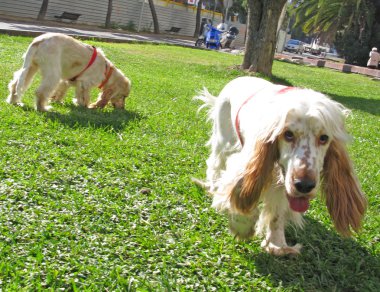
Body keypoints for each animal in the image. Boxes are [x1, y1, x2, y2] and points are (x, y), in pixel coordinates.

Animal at [194, 76, 366, 256]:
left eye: (324, 138)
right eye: (288, 134)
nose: (304, 186)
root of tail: (240, 78)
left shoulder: (283, 183)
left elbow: (277, 213)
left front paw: (277, 244)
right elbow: (236, 190)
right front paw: (242, 226)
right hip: (223, 142)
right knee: (214, 166)